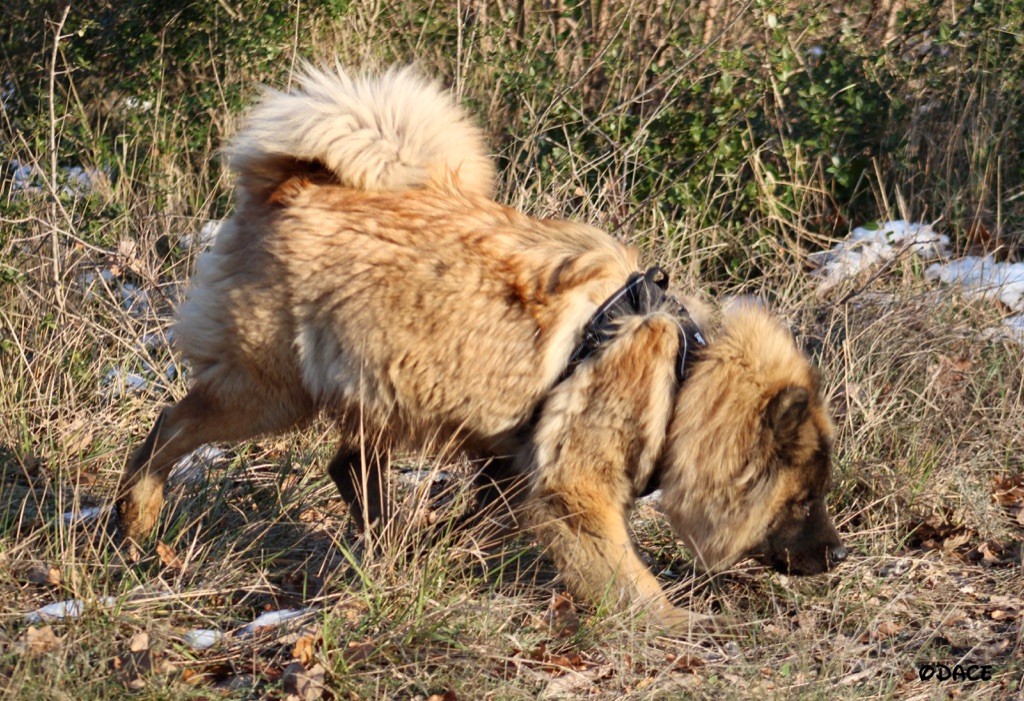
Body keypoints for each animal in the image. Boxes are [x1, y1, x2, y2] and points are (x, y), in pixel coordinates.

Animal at [116, 64, 843, 630]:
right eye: (802, 500)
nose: (838, 555)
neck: (683, 377)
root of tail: (290, 185)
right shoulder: (573, 488)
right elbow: (628, 578)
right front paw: (672, 624)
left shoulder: (515, 466)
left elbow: (476, 522)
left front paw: (438, 553)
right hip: (266, 393)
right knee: (168, 428)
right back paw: (136, 515)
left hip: (383, 381)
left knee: (349, 467)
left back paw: (388, 550)